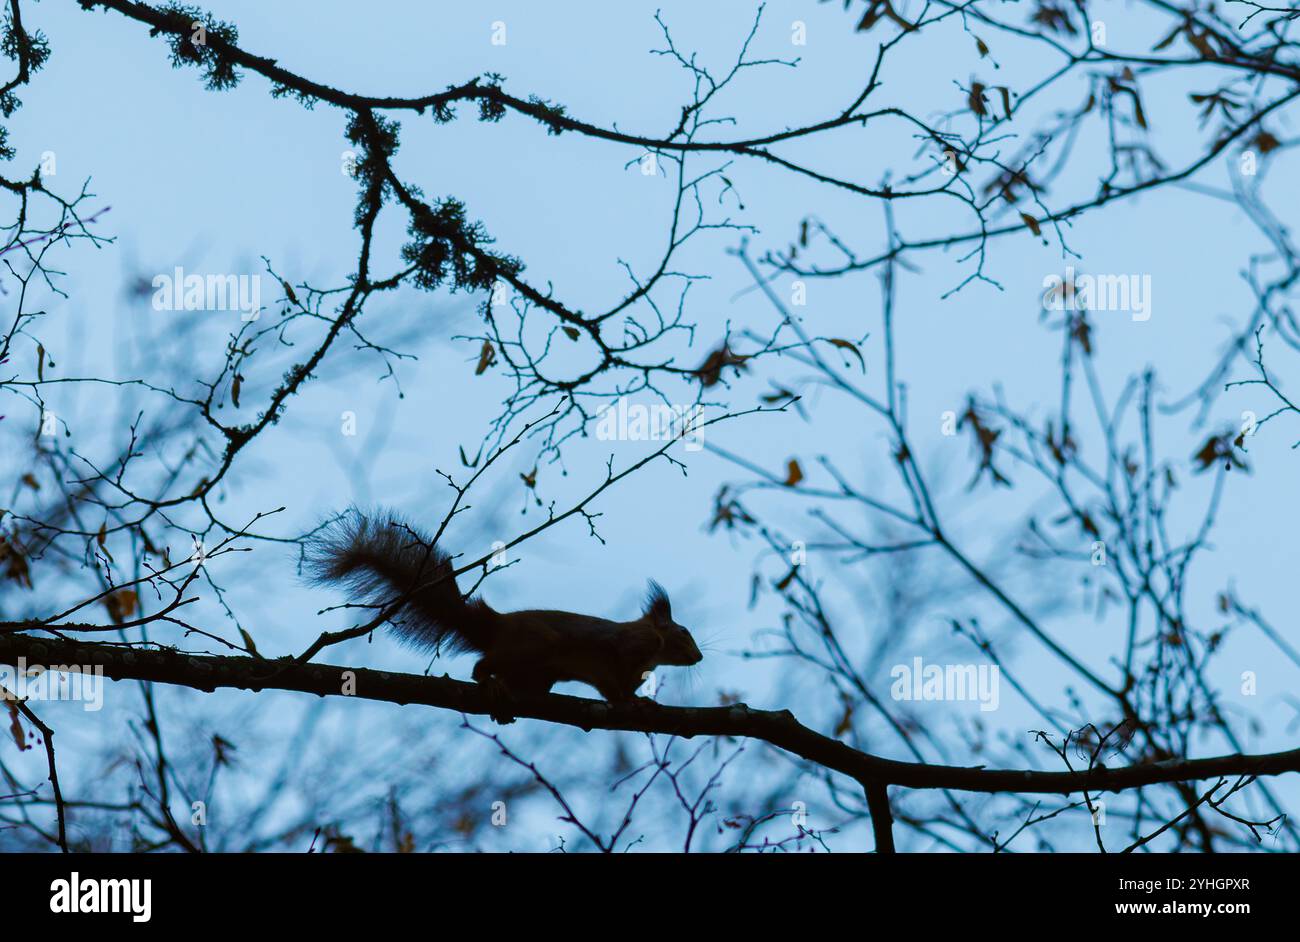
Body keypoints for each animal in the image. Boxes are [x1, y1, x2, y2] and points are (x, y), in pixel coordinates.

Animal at [306, 514, 702, 712]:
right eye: (684, 631)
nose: (699, 657)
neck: (652, 655)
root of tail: (494, 626)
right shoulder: (629, 646)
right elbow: (615, 682)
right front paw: (632, 700)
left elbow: (615, 689)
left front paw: (637, 698)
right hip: (533, 644)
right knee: (483, 665)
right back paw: (490, 683)